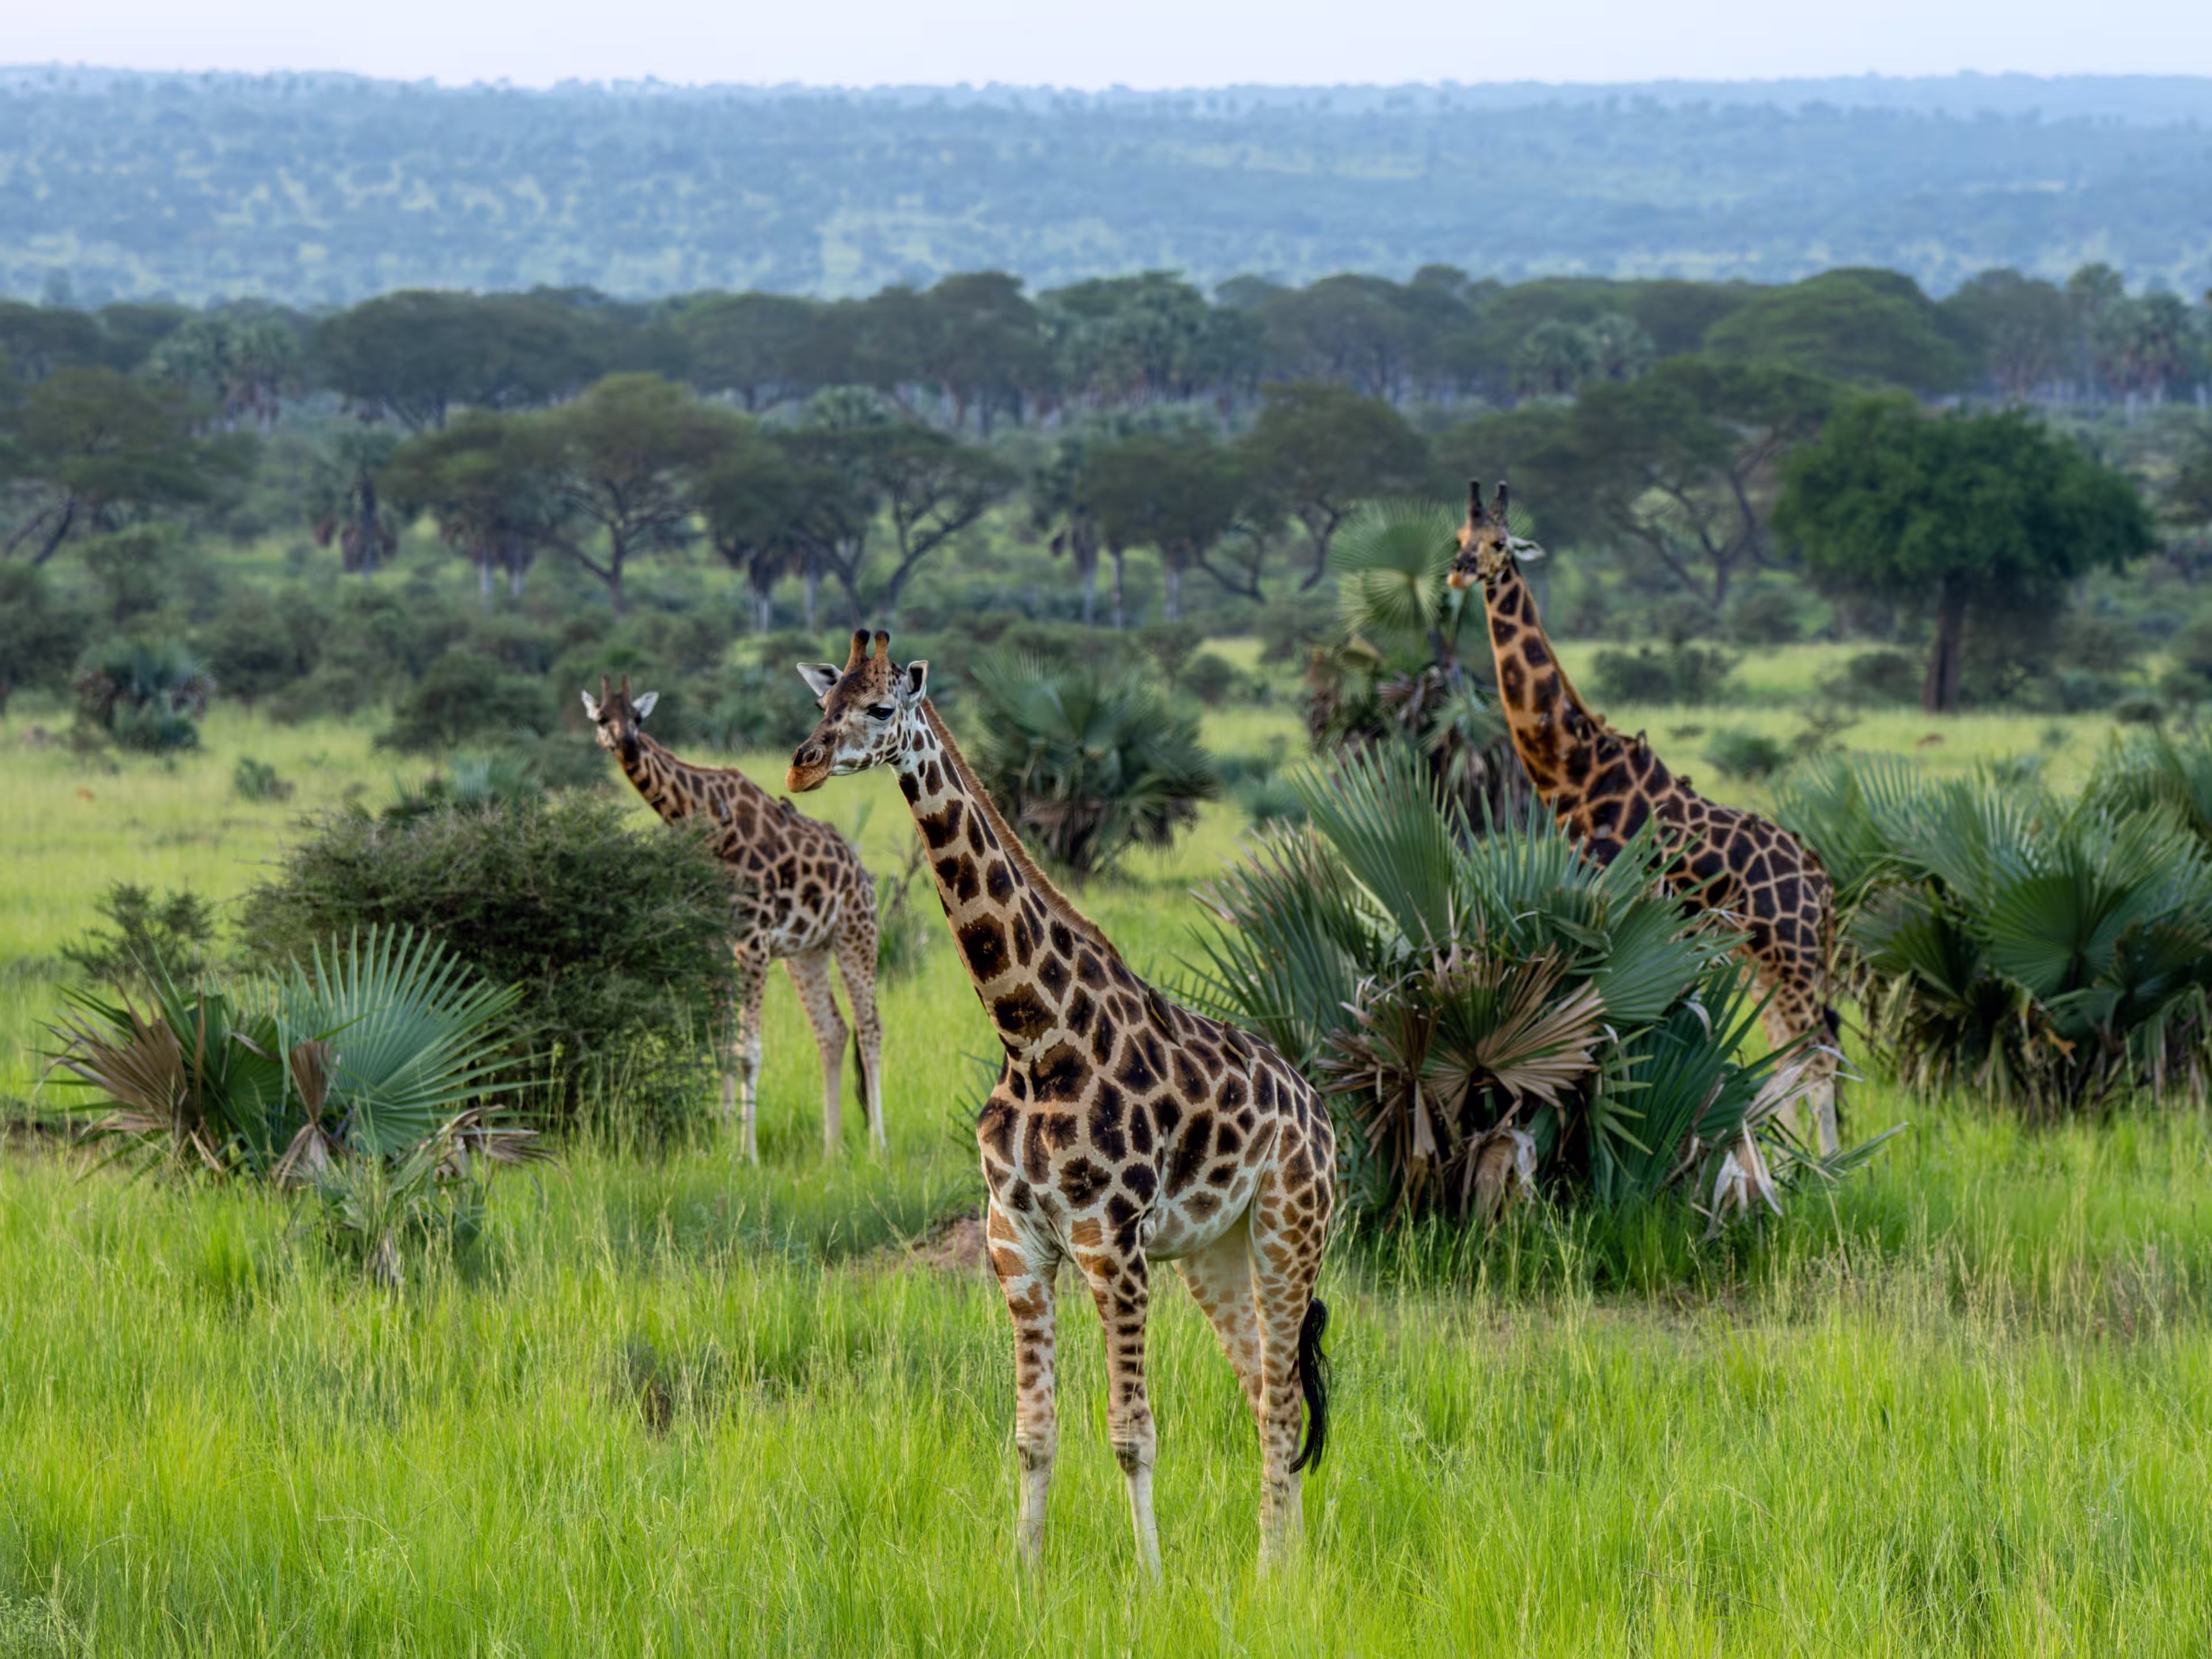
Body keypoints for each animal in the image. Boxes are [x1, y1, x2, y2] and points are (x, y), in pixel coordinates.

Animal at [583, 675, 883, 1162]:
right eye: (601, 718)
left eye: (639, 717)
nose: (626, 744)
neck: (702, 819)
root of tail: (862, 872)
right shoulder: (716, 942)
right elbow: (723, 1043)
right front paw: (723, 1143)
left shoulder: (753, 940)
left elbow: (748, 1051)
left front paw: (750, 1155)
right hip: (808, 952)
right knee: (833, 1032)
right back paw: (831, 1149)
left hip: (857, 934)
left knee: (871, 1029)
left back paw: (878, 1145)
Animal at [788, 630, 1336, 1575]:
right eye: (824, 702)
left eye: (881, 707)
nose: (803, 764)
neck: (1033, 1038)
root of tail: (1323, 1115)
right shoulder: (1016, 1242)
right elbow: (1032, 1434)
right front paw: (1025, 1575)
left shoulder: (1111, 1244)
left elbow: (1132, 1433)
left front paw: (1151, 1583)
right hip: (1215, 1253)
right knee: (1266, 1384)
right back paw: (1284, 1563)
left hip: (1290, 1229)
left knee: (1282, 1398)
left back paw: (1273, 1574)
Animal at [1447, 482, 1843, 1159]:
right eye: (1459, 537)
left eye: (1499, 543)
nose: (1460, 571)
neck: (1579, 777)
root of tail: (1820, 885)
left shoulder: (1617, 906)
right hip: (1764, 962)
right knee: (1795, 1057)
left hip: (1792, 955)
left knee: (1818, 1057)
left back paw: (1830, 1170)